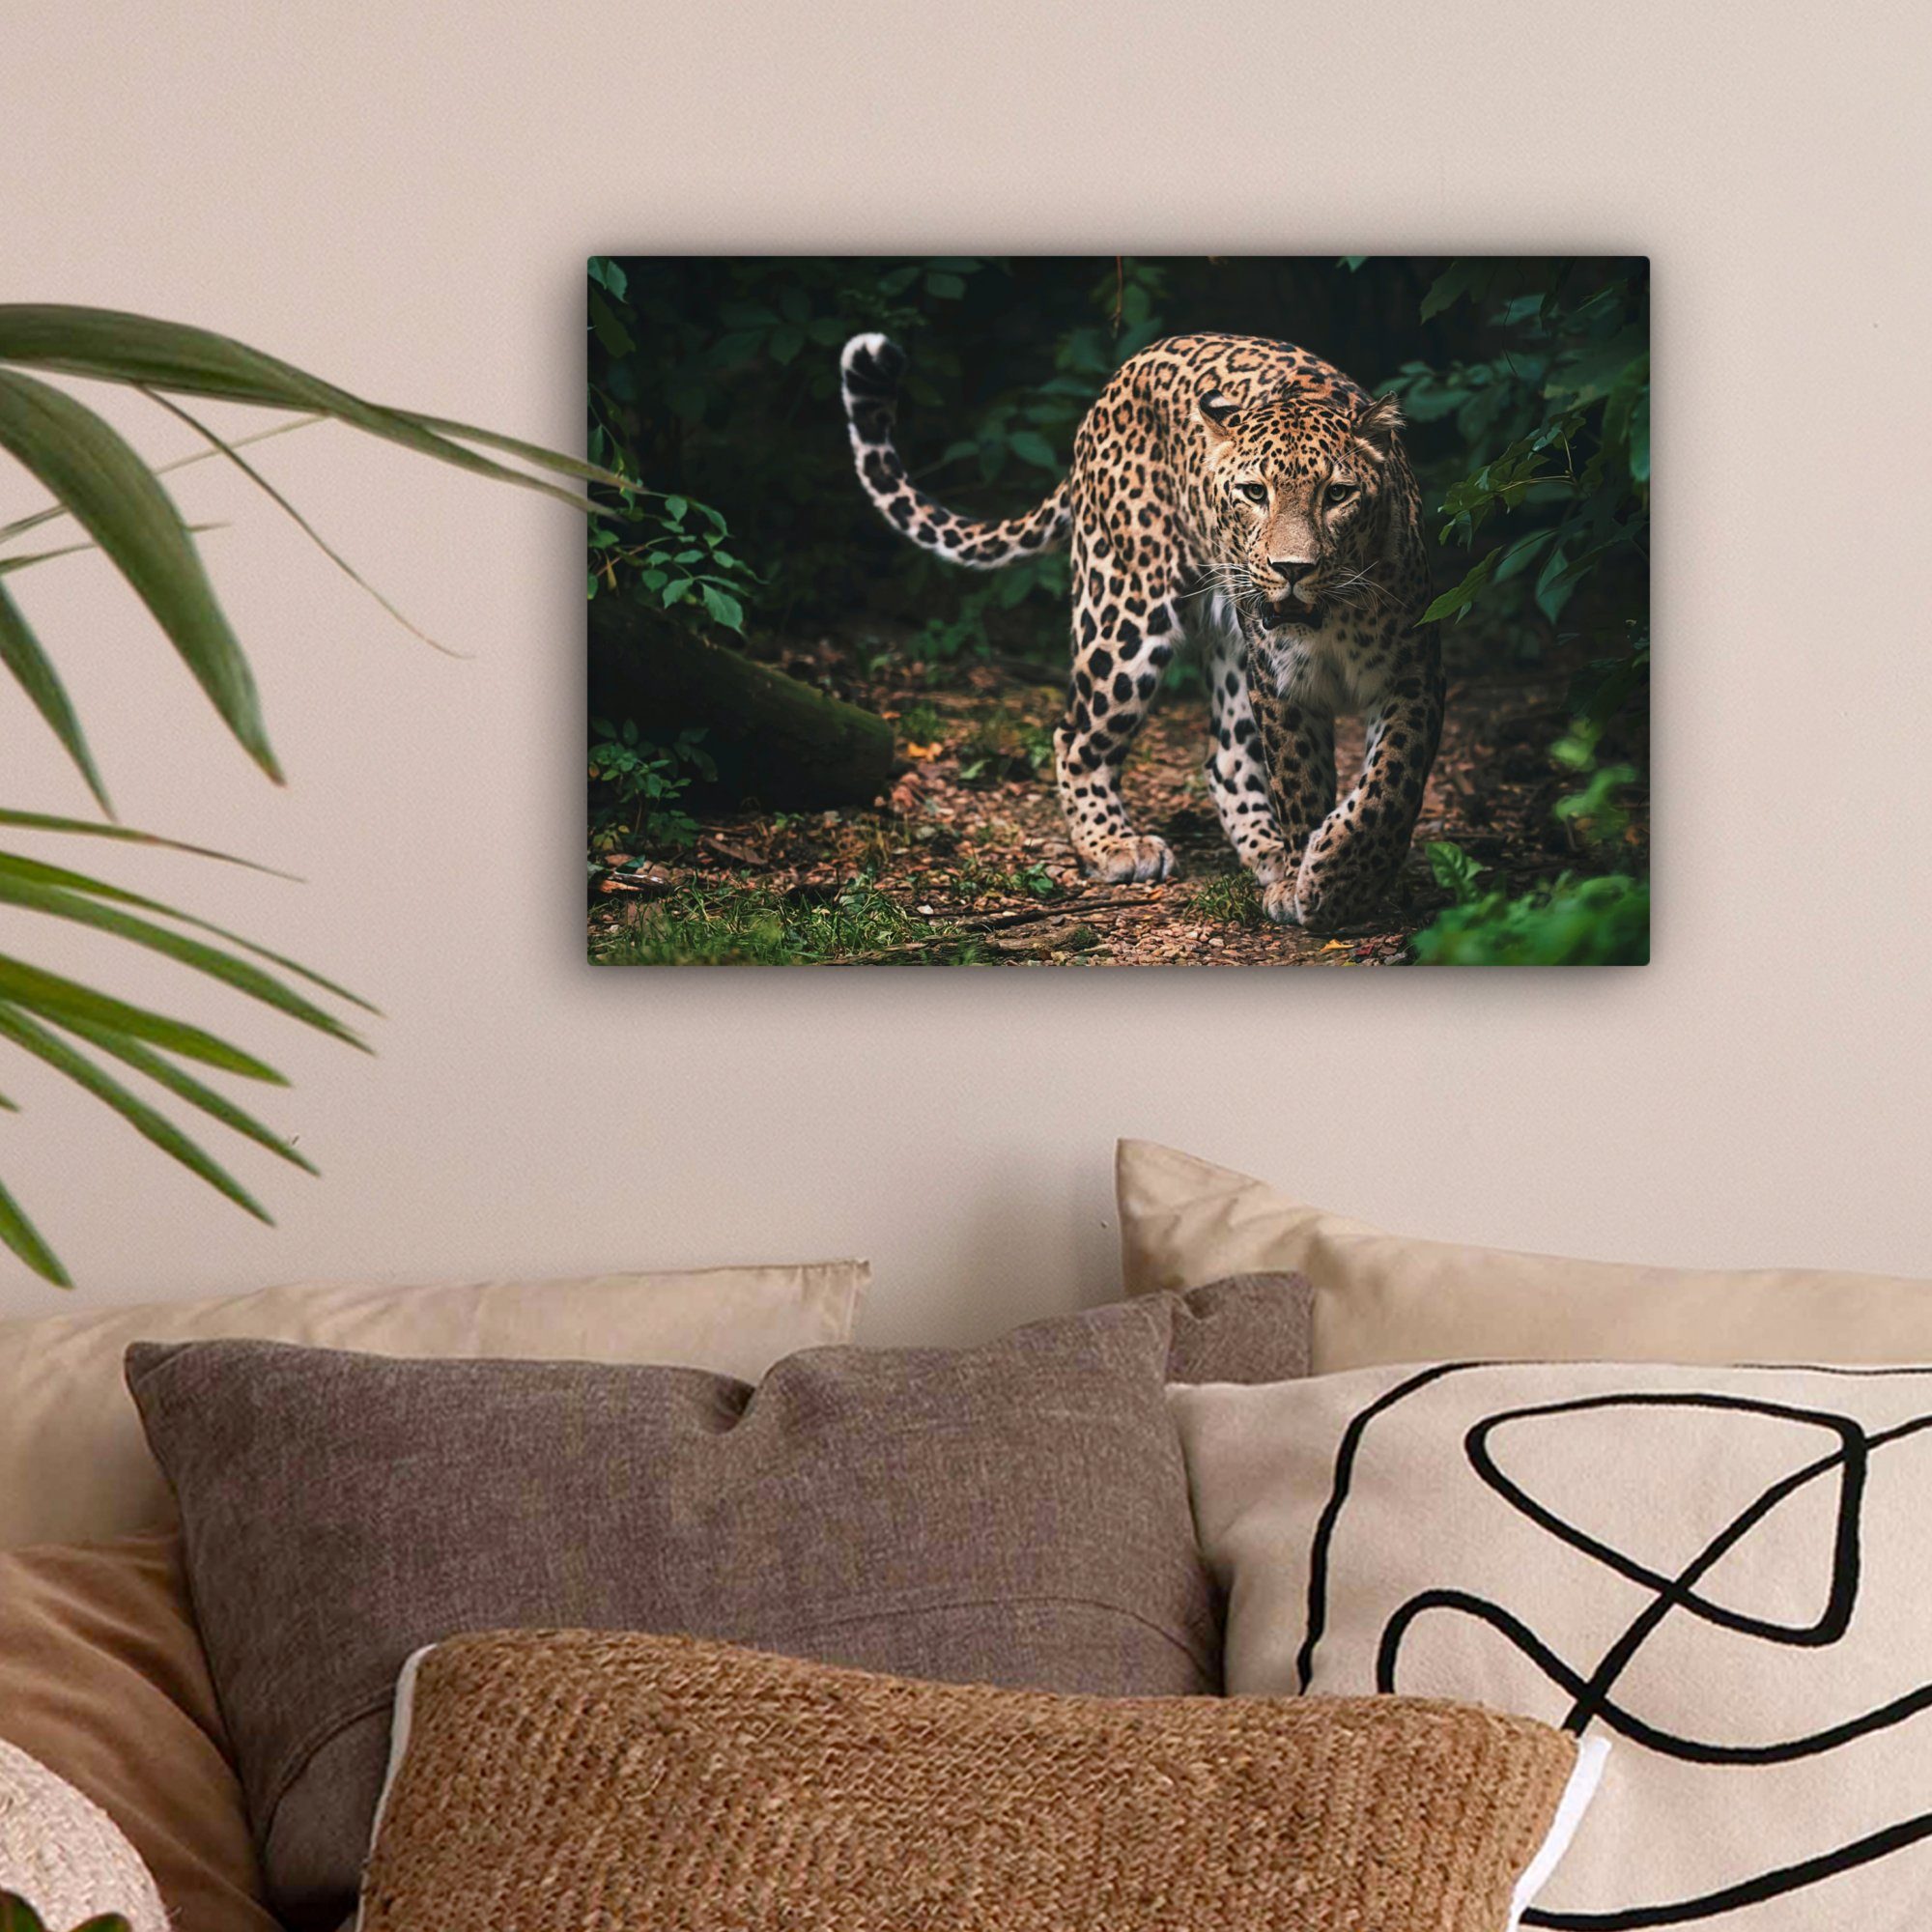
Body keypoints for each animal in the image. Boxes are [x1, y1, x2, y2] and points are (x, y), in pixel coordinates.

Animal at [839, 329, 1444, 932]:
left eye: (1337, 495)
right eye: (1254, 493)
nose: (1292, 569)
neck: (1330, 619)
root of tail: (1122, 374)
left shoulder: (1413, 674)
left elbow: (1390, 784)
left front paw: (1339, 876)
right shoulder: (1280, 685)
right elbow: (1300, 784)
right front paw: (1315, 882)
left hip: (1227, 647)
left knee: (1225, 757)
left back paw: (1267, 854)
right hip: (1123, 614)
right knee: (1075, 735)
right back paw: (1116, 846)